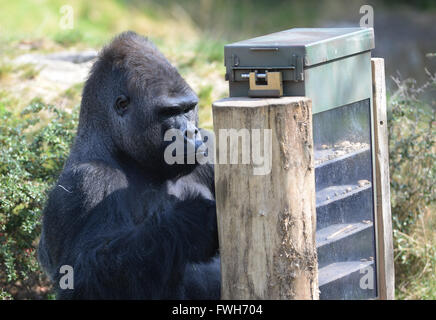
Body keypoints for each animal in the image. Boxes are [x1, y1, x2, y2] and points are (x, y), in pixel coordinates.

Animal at [36, 31, 221, 298]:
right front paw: (191, 223)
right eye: (170, 112)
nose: (191, 132)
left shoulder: (213, 147)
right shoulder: (85, 182)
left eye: (189, 109)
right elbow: (79, 279)